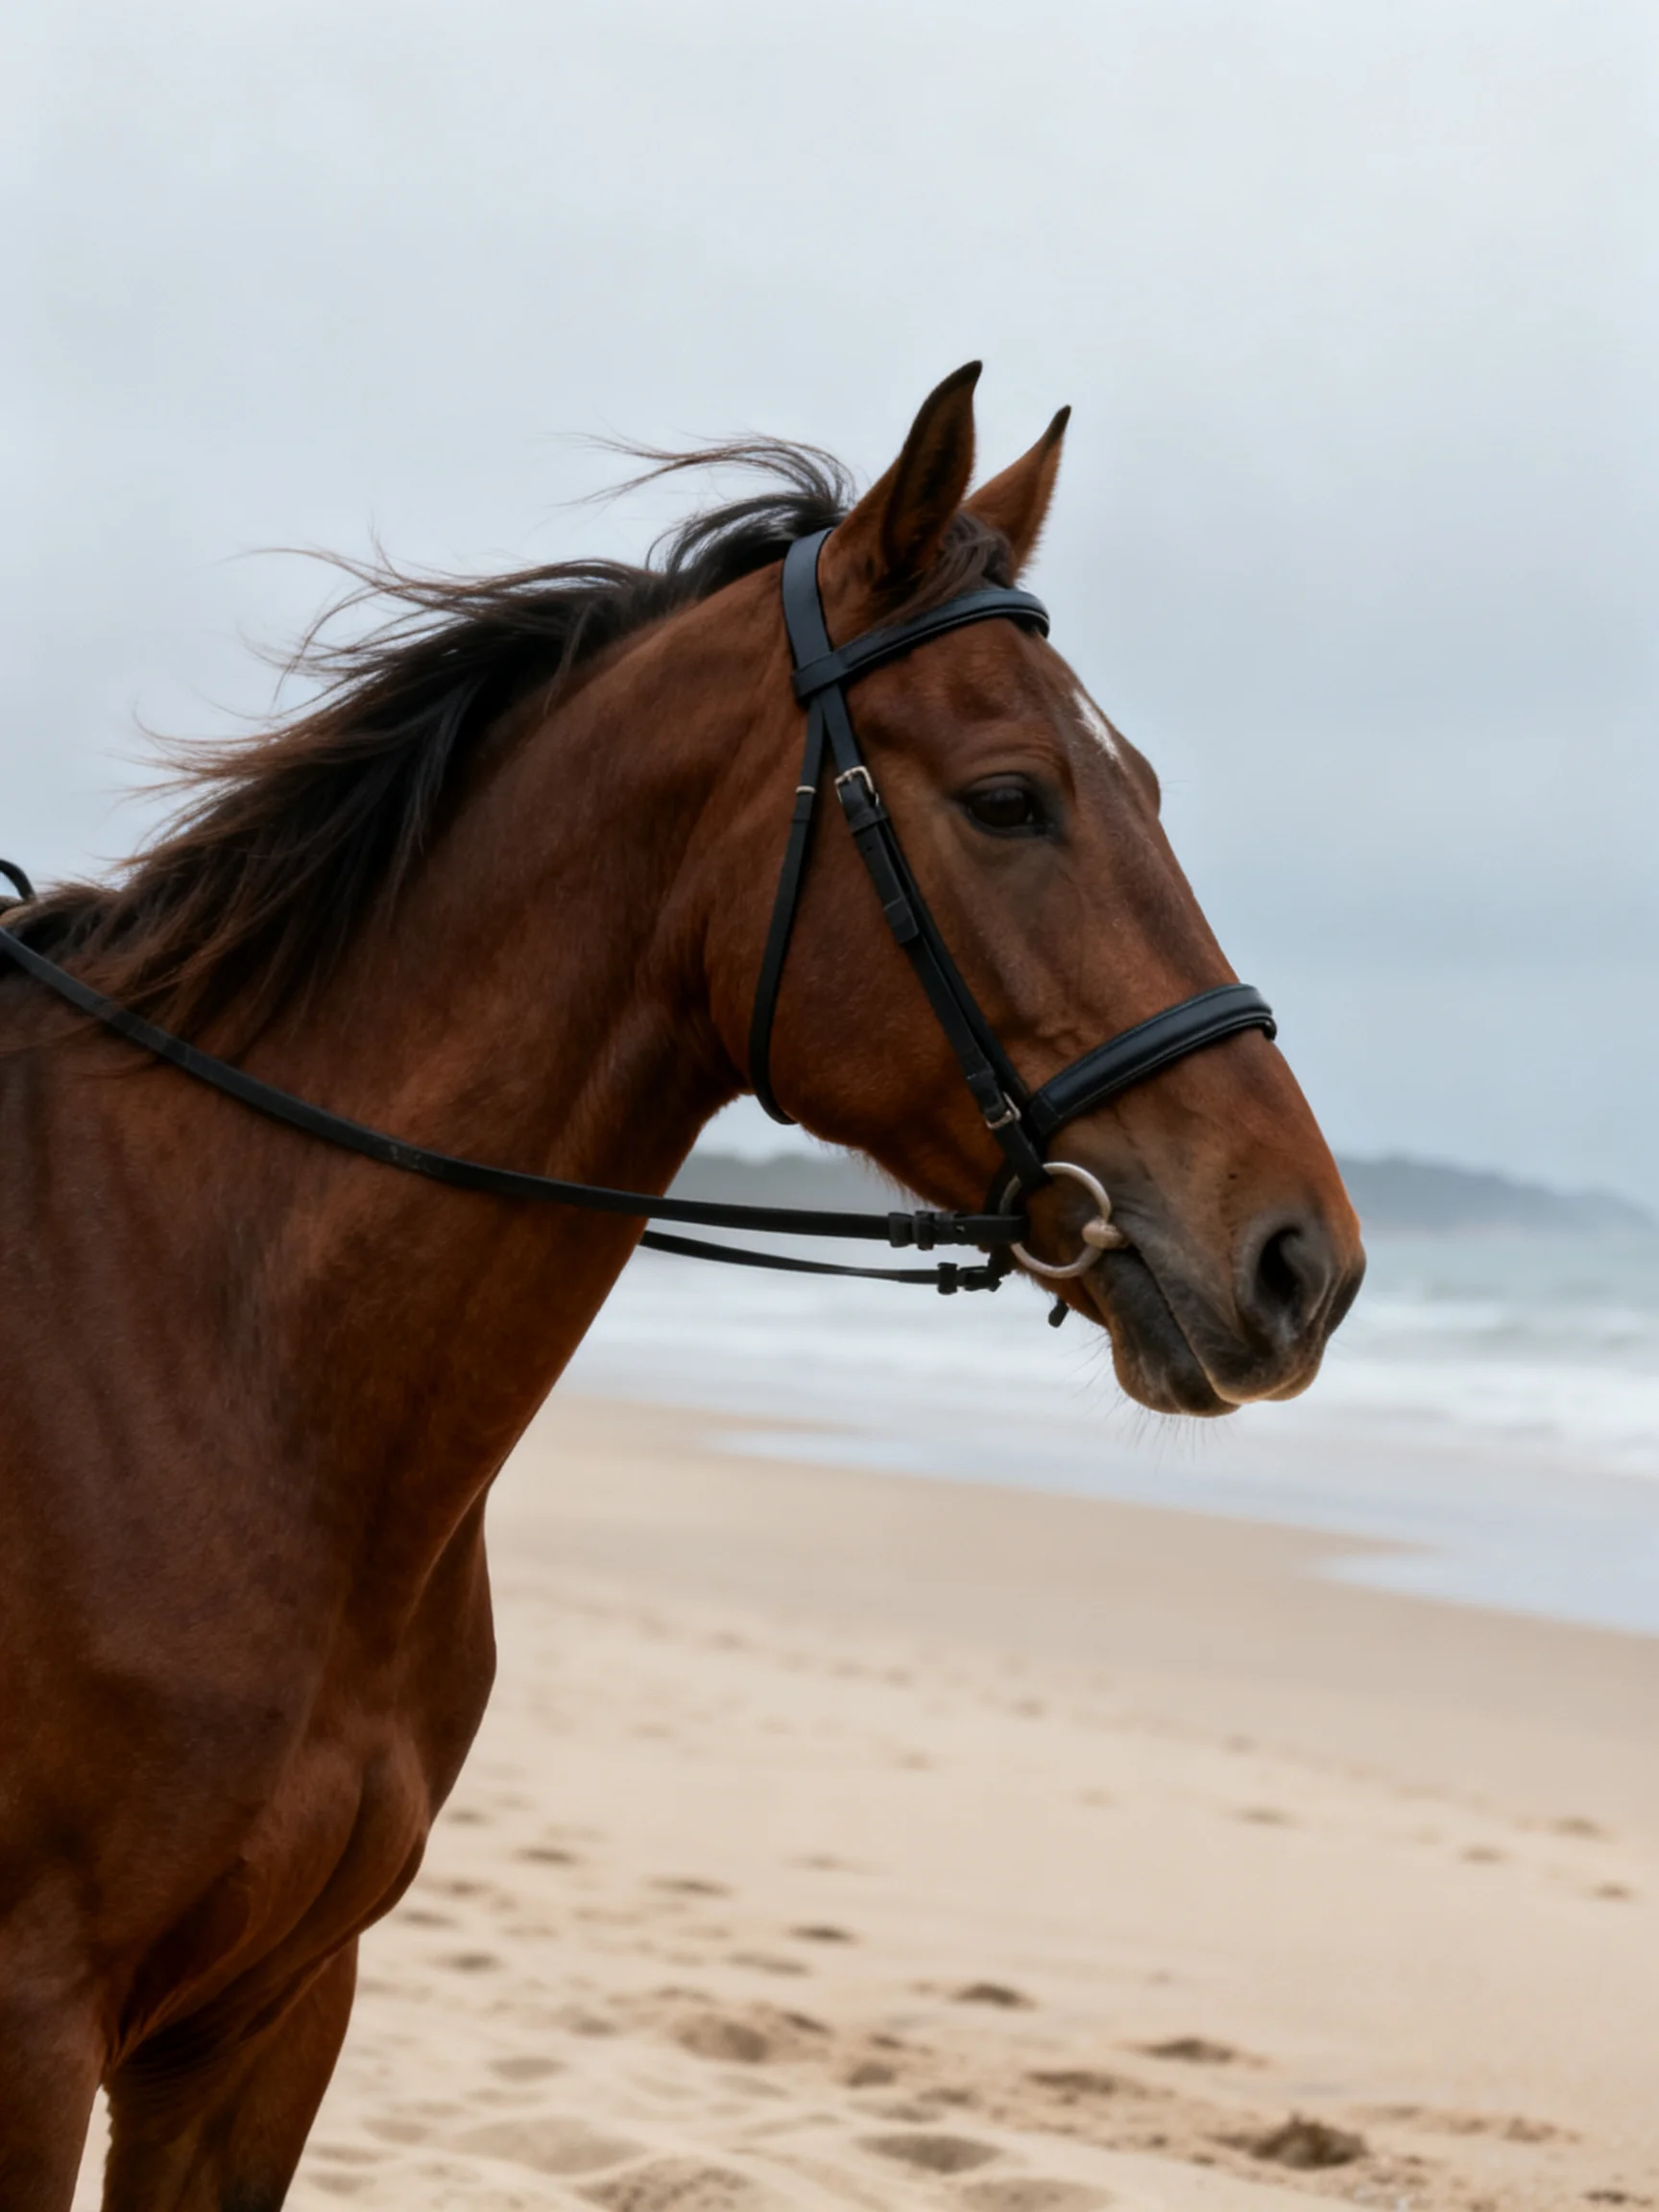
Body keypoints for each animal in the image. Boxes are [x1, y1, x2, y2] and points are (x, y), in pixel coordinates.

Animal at [0, 365, 1363, 2208]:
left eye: (1143, 783)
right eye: (1010, 798)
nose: (1304, 1262)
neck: (215, 1348)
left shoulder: (263, 2026)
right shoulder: (33, 2022)